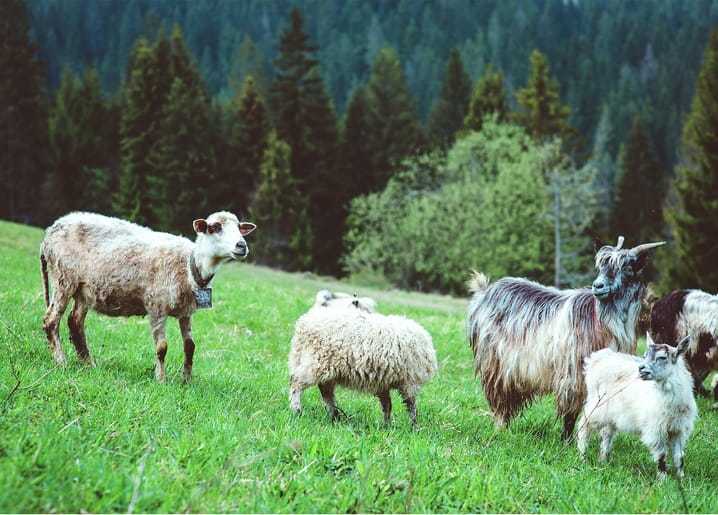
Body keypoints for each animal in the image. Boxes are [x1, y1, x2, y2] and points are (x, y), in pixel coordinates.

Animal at [40, 211, 256, 383]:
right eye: (215, 227)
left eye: (239, 228)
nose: (242, 245)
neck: (189, 266)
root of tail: (50, 232)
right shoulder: (157, 306)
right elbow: (162, 347)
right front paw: (161, 380)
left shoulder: (186, 312)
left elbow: (190, 346)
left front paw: (187, 380)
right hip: (64, 278)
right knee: (51, 320)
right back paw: (62, 363)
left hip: (85, 290)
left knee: (75, 321)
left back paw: (88, 364)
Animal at [288, 306, 437, 425]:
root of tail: (304, 322)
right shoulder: (410, 382)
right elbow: (411, 407)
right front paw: (413, 427)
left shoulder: (383, 382)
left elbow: (387, 405)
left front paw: (387, 426)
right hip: (316, 362)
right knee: (296, 383)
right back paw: (296, 410)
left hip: (326, 368)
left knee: (325, 390)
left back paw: (334, 416)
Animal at [466, 237, 665, 439]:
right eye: (601, 266)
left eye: (627, 268)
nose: (598, 286)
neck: (601, 321)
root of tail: (485, 291)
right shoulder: (573, 373)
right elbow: (570, 412)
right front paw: (566, 441)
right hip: (495, 364)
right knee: (499, 400)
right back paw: (501, 430)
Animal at [576, 334, 696, 480]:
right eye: (644, 355)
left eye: (662, 357)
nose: (641, 368)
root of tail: (597, 359)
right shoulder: (654, 429)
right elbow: (661, 454)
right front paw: (663, 479)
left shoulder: (678, 429)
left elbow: (679, 456)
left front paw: (681, 477)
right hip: (598, 406)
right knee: (584, 426)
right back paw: (583, 457)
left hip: (611, 415)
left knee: (606, 434)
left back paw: (603, 460)